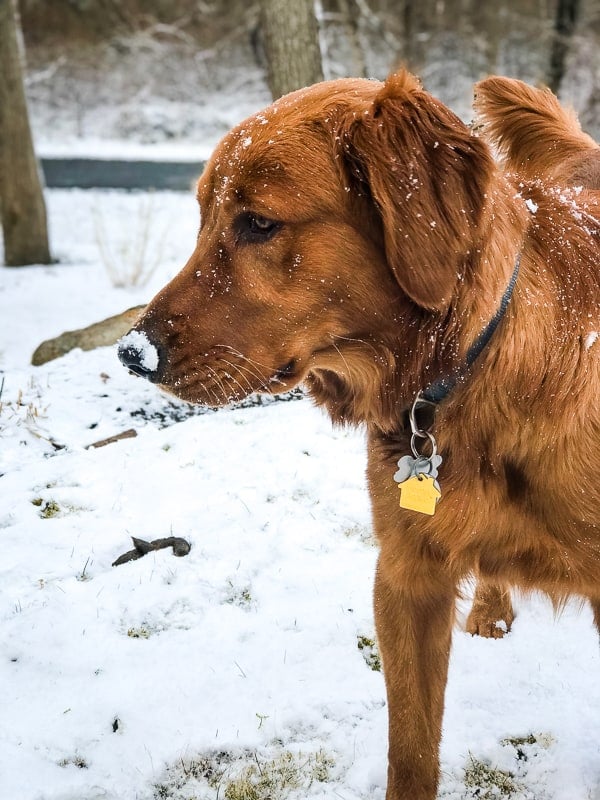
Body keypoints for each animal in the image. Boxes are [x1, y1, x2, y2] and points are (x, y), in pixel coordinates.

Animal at [117, 70, 600, 800]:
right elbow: (411, 753)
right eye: (203, 218)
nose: (131, 353)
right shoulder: (405, 577)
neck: (465, 370)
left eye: (258, 223)